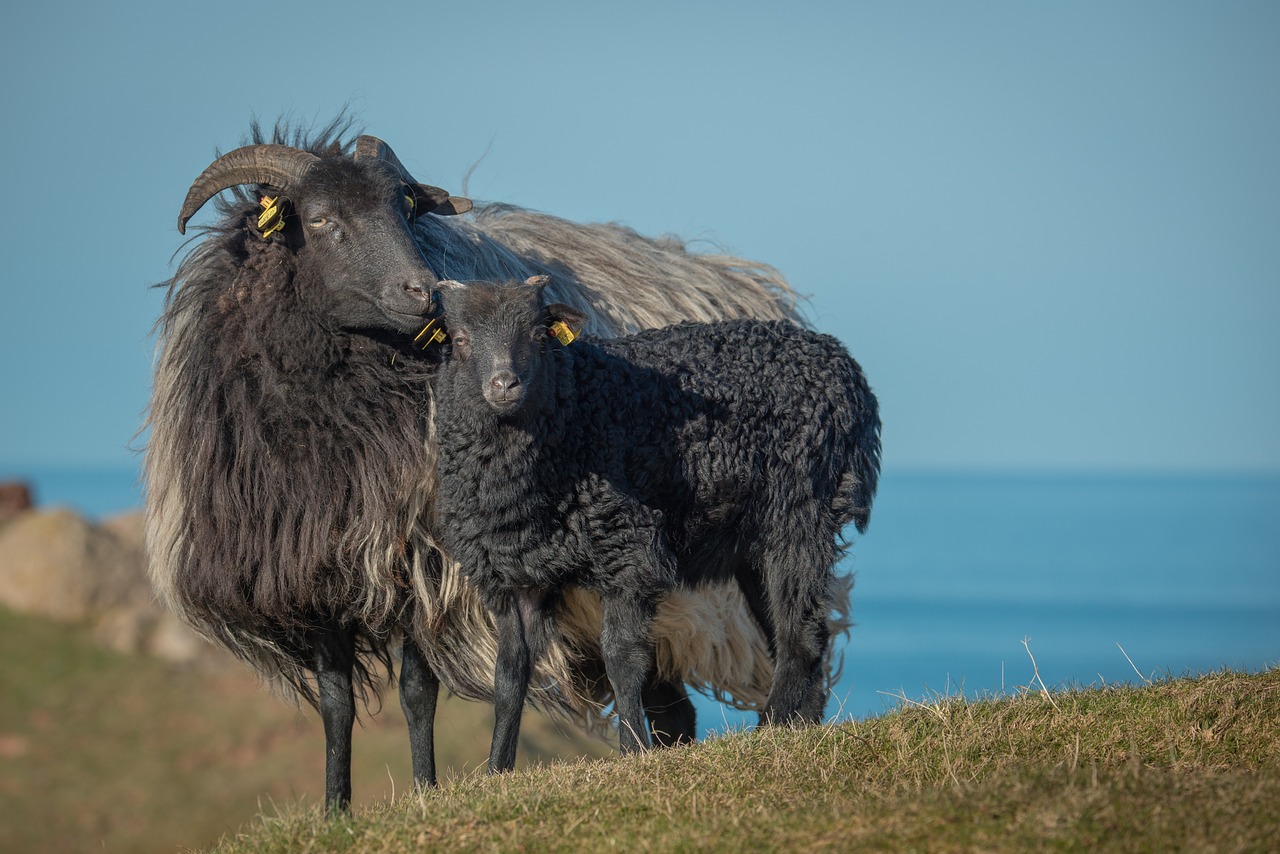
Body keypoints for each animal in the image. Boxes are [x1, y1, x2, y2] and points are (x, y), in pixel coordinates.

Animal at [430, 277, 880, 773]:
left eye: (536, 334)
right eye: (460, 340)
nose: (503, 384)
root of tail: (842, 366)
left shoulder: (628, 551)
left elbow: (622, 658)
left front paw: (634, 752)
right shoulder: (515, 576)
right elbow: (510, 675)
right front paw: (496, 771)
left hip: (799, 509)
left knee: (800, 634)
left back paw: (773, 728)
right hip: (757, 545)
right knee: (797, 630)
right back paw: (800, 727)